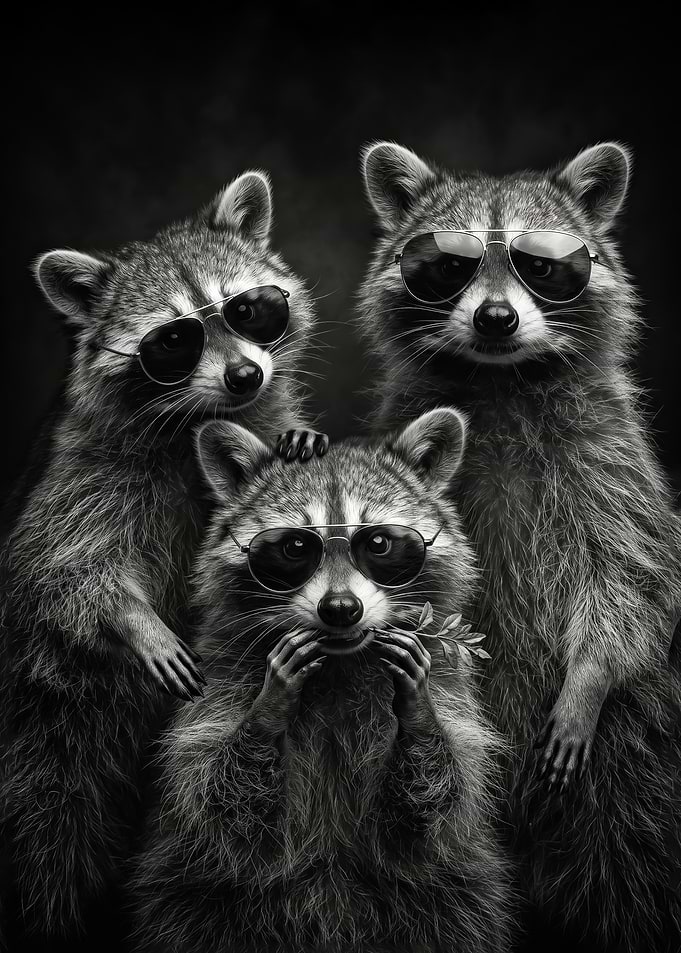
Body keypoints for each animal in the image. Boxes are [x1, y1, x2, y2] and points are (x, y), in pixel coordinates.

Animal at [0, 171, 327, 943]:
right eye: (174, 340)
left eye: (251, 310)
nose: (243, 375)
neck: (192, 422)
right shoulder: (84, 481)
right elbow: (64, 571)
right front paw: (132, 621)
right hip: (45, 725)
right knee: (49, 831)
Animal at [130, 409, 512, 953]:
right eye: (294, 547)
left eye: (379, 543)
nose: (340, 609)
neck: (339, 667)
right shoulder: (218, 683)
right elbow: (221, 798)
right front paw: (269, 707)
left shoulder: (453, 689)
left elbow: (434, 800)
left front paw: (417, 713)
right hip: (199, 901)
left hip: (448, 901)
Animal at [358, 142, 681, 952]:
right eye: (447, 265)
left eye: (543, 264)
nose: (496, 318)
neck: (500, 379)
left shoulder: (611, 463)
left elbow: (629, 580)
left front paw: (591, 676)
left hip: (632, 752)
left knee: (632, 853)